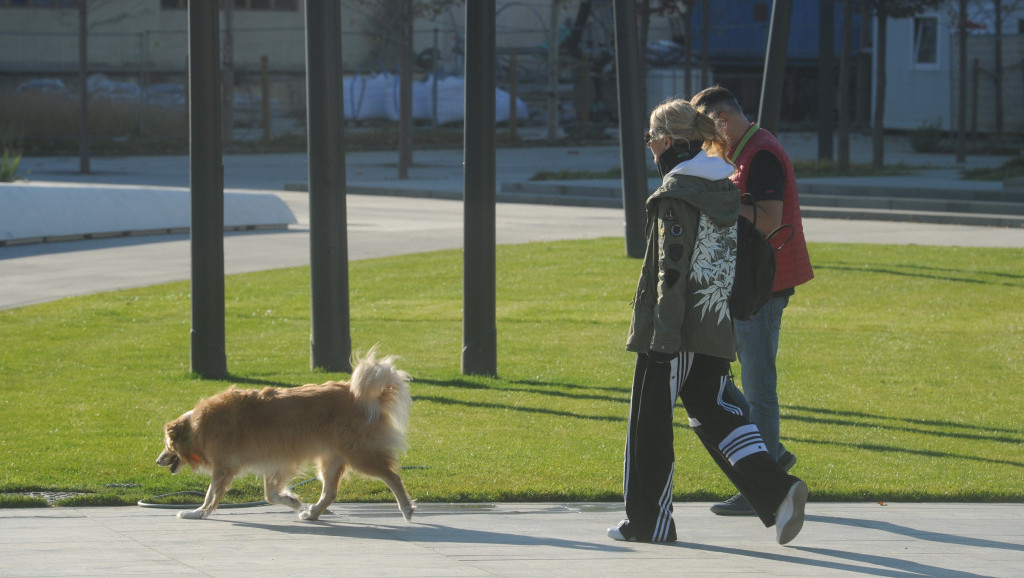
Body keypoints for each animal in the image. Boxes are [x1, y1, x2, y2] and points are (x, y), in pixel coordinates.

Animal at [155, 350, 411, 520]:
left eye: (167, 445)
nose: (157, 460)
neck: (196, 428)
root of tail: (365, 396)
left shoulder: (224, 467)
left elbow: (211, 494)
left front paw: (198, 512)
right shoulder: (275, 461)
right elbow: (270, 495)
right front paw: (293, 501)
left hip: (359, 454)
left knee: (393, 476)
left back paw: (407, 509)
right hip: (330, 459)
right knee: (330, 492)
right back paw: (312, 513)